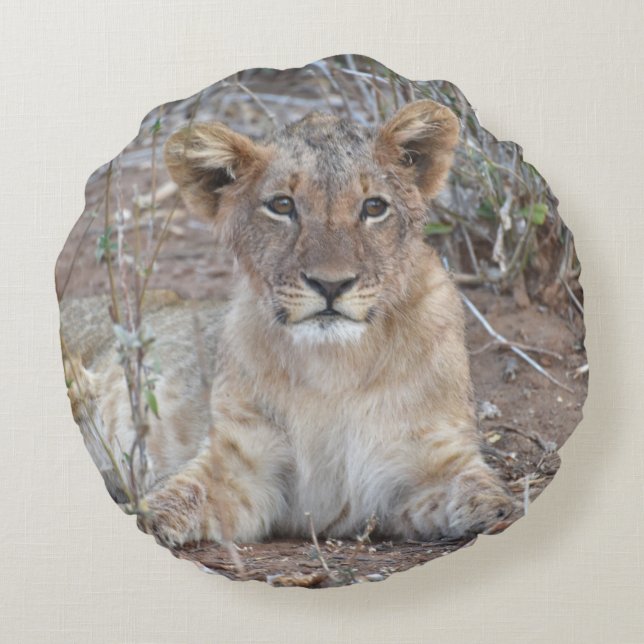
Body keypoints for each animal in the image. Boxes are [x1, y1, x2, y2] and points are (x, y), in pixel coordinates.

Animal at [60, 99, 516, 548]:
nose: (331, 284)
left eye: (374, 207)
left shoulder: (432, 459)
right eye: (282, 206)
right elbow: (178, 495)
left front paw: (498, 515)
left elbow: (485, 496)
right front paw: (150, 519)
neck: (335, 368)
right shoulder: (240, 464)